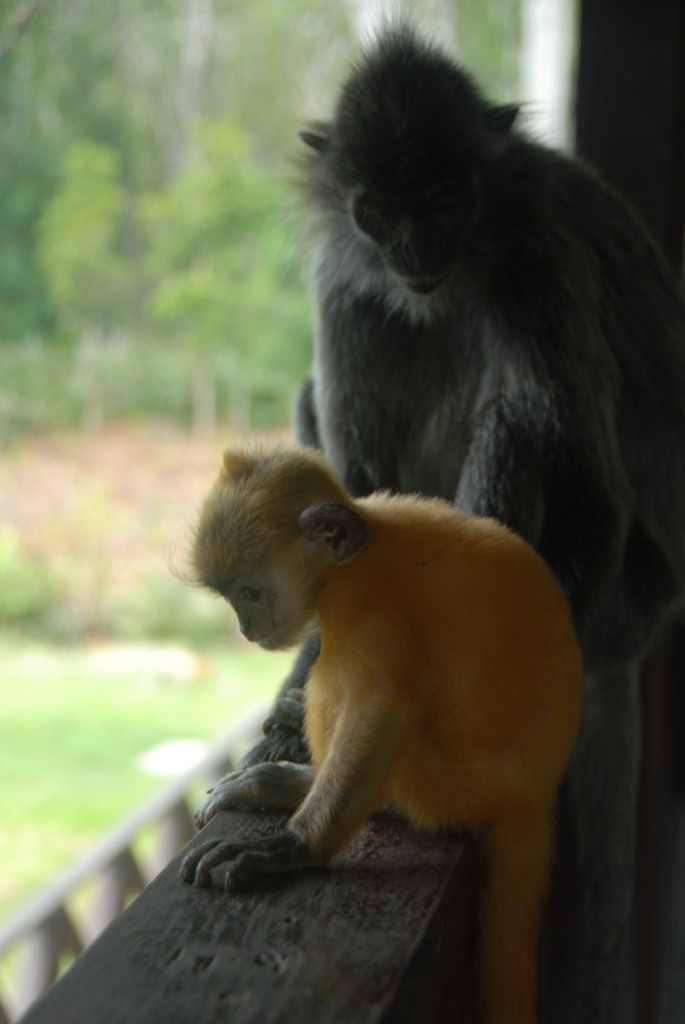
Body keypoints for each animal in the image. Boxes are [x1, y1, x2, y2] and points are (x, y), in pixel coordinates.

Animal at [179, 446, 581, 1024]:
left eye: (250, 593)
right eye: (232, 598)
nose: (244, 628)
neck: (358, 553)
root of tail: (533, 793)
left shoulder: (364, 608)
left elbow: (381, 708)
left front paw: (290, 850)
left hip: (445, 786)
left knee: (341, 684)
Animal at [236, 22, 683, 1024]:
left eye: (446, 201)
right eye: (375, 212)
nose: (414, 249)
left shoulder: (540, 258)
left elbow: (566, 456)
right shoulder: (345, 284)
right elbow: (348, 486)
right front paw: (298, 694)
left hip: (619, 588)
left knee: (530, 419)